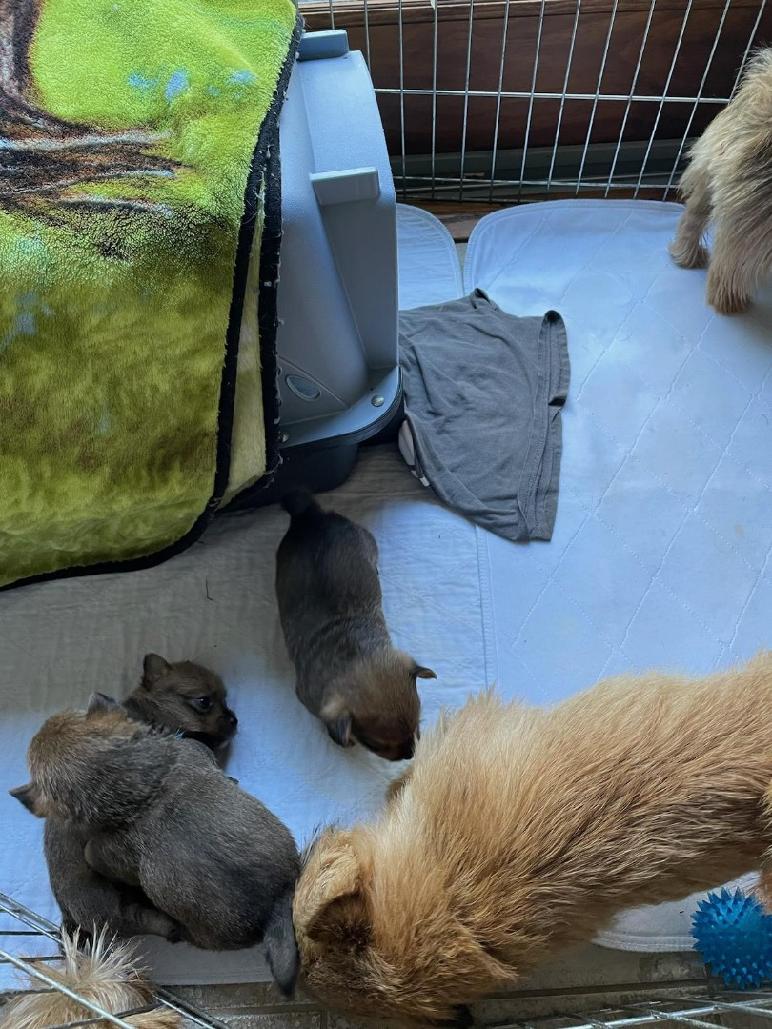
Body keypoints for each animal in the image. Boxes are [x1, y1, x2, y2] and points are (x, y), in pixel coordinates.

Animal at [41, 654, 237, 943]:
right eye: (204, 701)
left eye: (225, 698)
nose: (234, 720)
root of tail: (69, 916)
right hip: (110, 904)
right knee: (141, 919)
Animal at [275, 490, 436, 761]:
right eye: (376, 745)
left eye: (417, 724)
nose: (410, 754)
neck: (352, 655)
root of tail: (310, 516)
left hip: (365, 539)